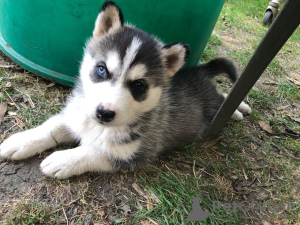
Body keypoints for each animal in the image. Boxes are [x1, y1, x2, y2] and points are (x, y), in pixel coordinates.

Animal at [0, 0, 251, 178]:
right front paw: (20, 141)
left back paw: (239, 111)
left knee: (222, 99)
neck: (99, 127)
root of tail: (198, 72)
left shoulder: (134, 155)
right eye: (102, 70)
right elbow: (52, 126)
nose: (104, 112)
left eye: (139, 85)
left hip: (211, 107)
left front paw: (62, 159)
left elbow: (95, 151)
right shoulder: (77, 117)